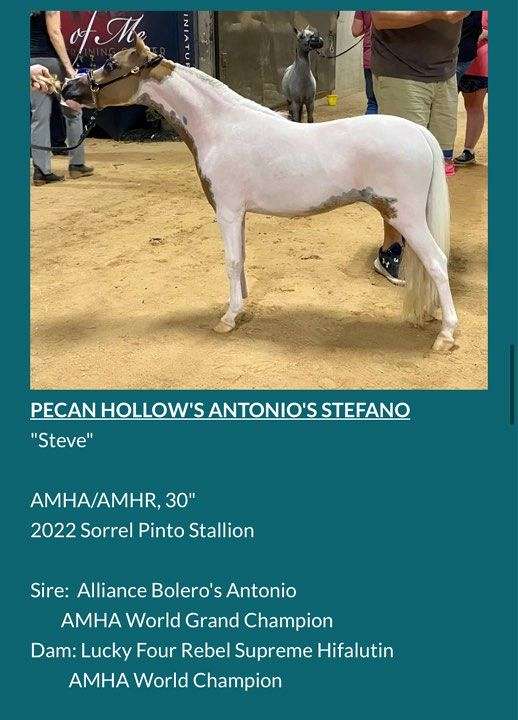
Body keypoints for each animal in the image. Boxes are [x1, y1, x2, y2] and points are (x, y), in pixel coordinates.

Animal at [62, 36, 458, 353]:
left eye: (111, 64)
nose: (68, 89)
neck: (221, 127)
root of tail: (419, 133)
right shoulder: (240, 213)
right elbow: (241, 260)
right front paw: (241, 306)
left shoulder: (227, 211)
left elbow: (231, 261)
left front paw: (227, 318)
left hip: (404, 216)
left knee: (437, 263)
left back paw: (446, 335)